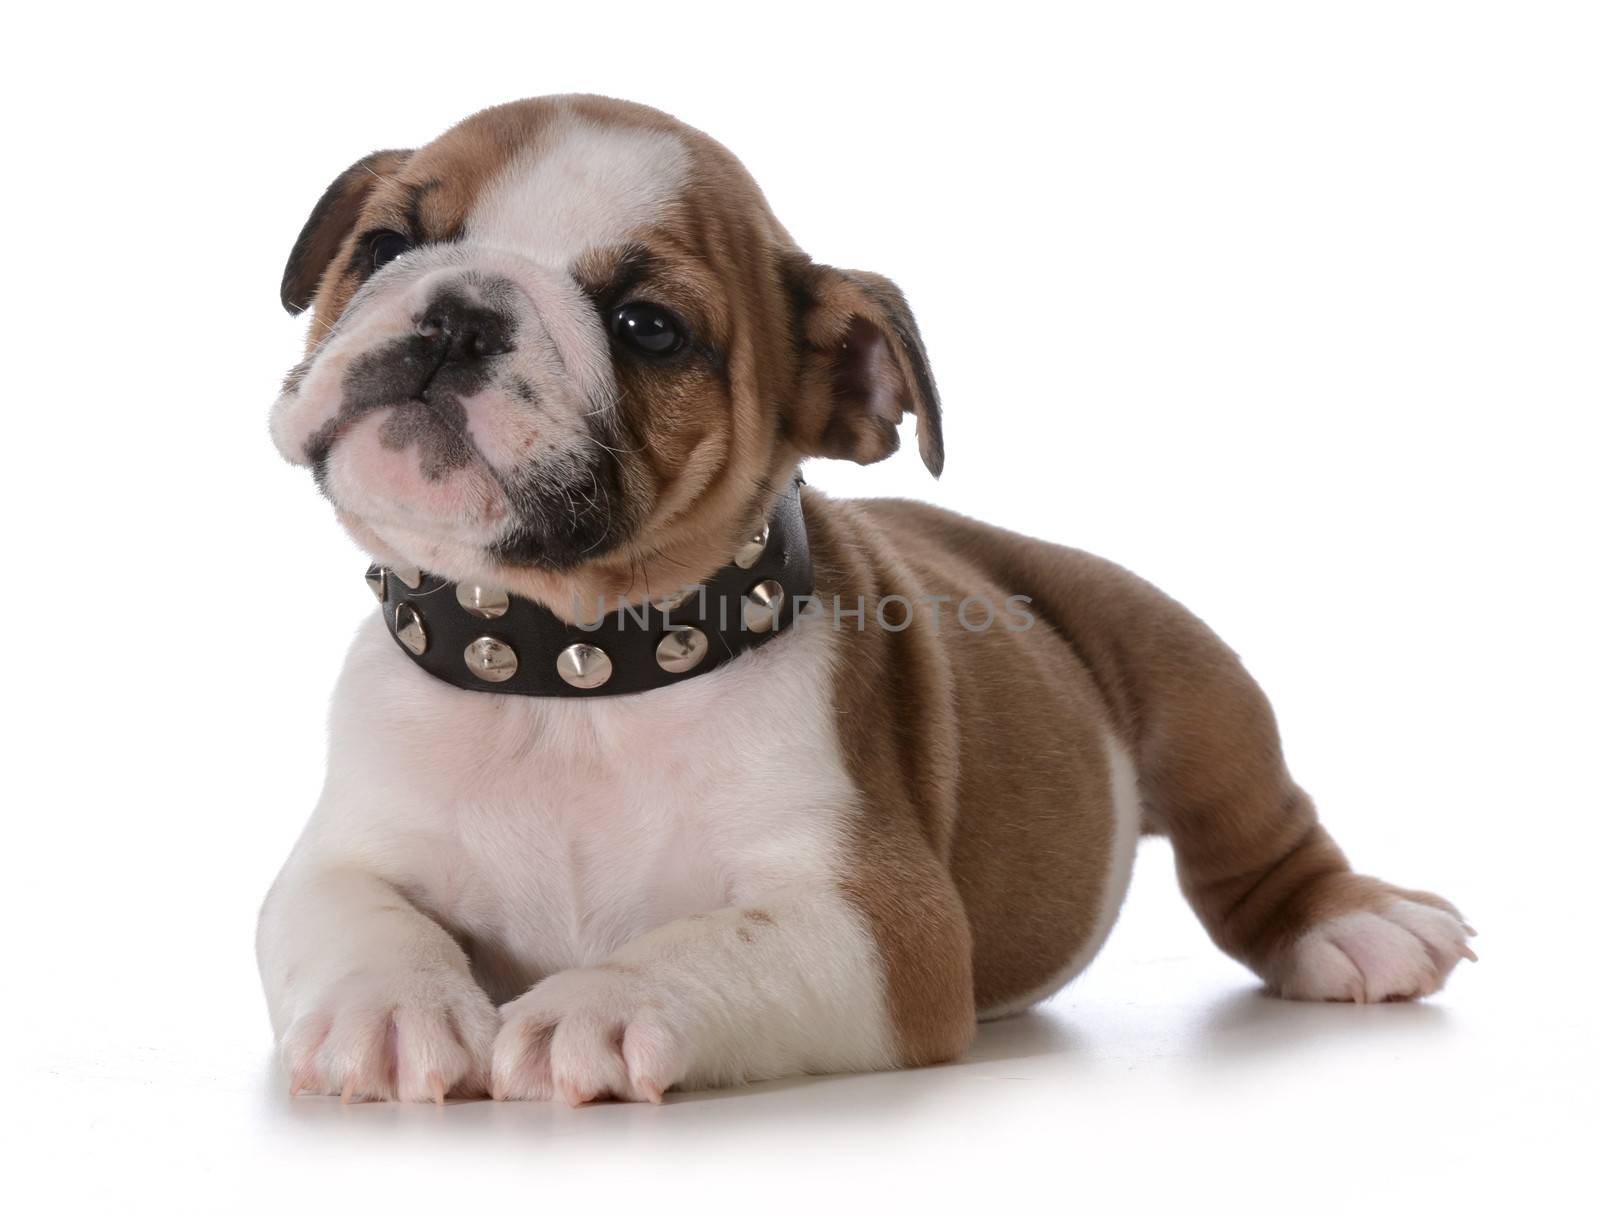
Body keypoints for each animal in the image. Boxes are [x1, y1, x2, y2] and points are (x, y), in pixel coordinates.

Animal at [259, 95, 1472, 1100]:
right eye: (385, 246)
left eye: (649, 327)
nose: (462, 312)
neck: (569, 665)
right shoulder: (336, 858)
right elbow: (351, 915)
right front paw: (389, 1006)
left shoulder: (878, 923)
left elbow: (711, 942)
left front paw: (601, 1004)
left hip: (1190, 683)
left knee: (1258, 833)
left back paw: (1358, 924)